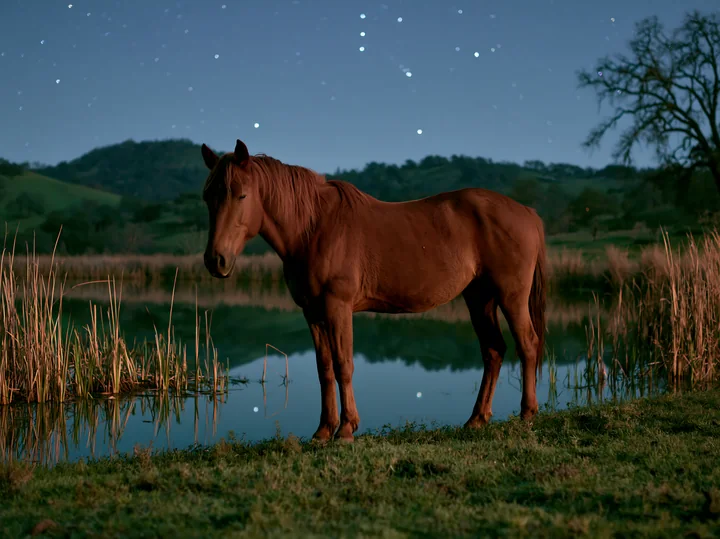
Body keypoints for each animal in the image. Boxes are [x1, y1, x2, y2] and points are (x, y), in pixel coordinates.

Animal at [200, 139, 547, 443]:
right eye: (207, 197)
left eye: (242, 195)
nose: (216, 260)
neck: (313, 229)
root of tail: (528, 212)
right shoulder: (312, 312)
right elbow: (325, 368)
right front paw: (323, 431)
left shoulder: (337, 307)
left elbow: (344, 365)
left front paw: (346, 430)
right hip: (479, 298)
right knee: (493, 350)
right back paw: (476, 419)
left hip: (511, 296)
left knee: (528, 345)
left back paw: (527, 414)